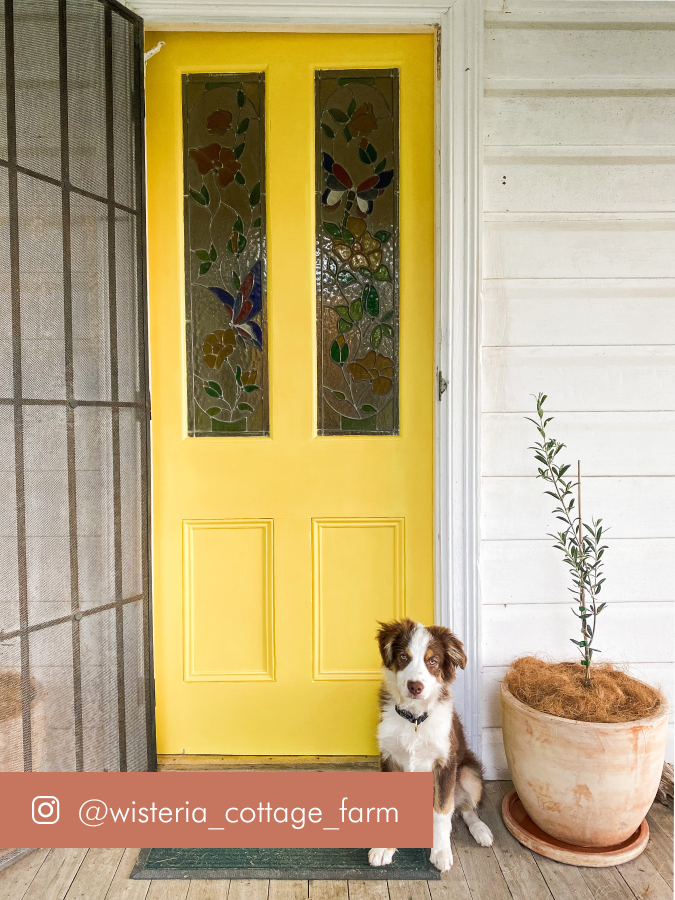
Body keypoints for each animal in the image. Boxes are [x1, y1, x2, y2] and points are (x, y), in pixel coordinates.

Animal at [370, 620, 492, 872]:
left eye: (432, 661)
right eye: (403, 657)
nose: (415, 687)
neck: (414, 719)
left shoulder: (445, 764)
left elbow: (442, 811)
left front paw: (441, 852)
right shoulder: (388, 758)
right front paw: (383, 847)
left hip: (469, 772)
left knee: (466, 809)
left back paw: (481, 831)